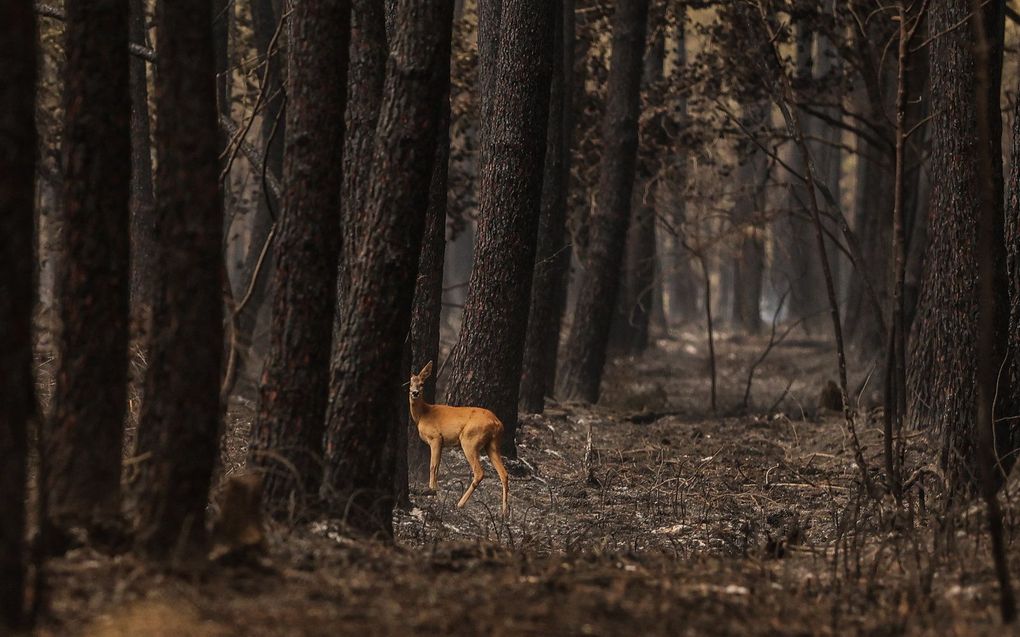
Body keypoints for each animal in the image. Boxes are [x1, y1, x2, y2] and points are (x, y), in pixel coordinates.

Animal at [408, 360, 507, 513]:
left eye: (422, 384)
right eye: (410, 383)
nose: (415, 393)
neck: (423, 414)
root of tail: (497, 423)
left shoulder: (435, 437)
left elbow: (433, 465)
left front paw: (432, 489)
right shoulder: (441, 442)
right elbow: (437, 464)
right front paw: (435, 488)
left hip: (469, 440)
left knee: (479, 472)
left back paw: (460, 503)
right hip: (493, 444)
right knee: (504, 474)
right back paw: (505, 512)